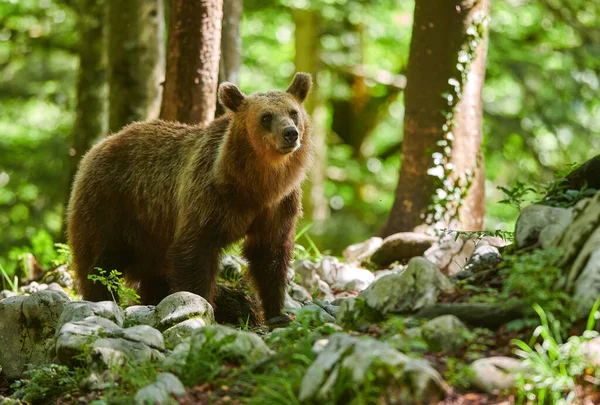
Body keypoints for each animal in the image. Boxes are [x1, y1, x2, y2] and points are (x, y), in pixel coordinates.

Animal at [67, 72, 314, 322]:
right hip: (111, 203)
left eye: (293, 112)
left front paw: (278, 314)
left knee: (152, 274)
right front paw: (201, 307)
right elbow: (194, 253)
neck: (255, 186)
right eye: (266, 117)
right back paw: (101, 298)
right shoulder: (208, 199)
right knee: (99, 260)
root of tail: (101, 144)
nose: (290, 133)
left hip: (151, 231)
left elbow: (270, 257)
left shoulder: (279, 207)